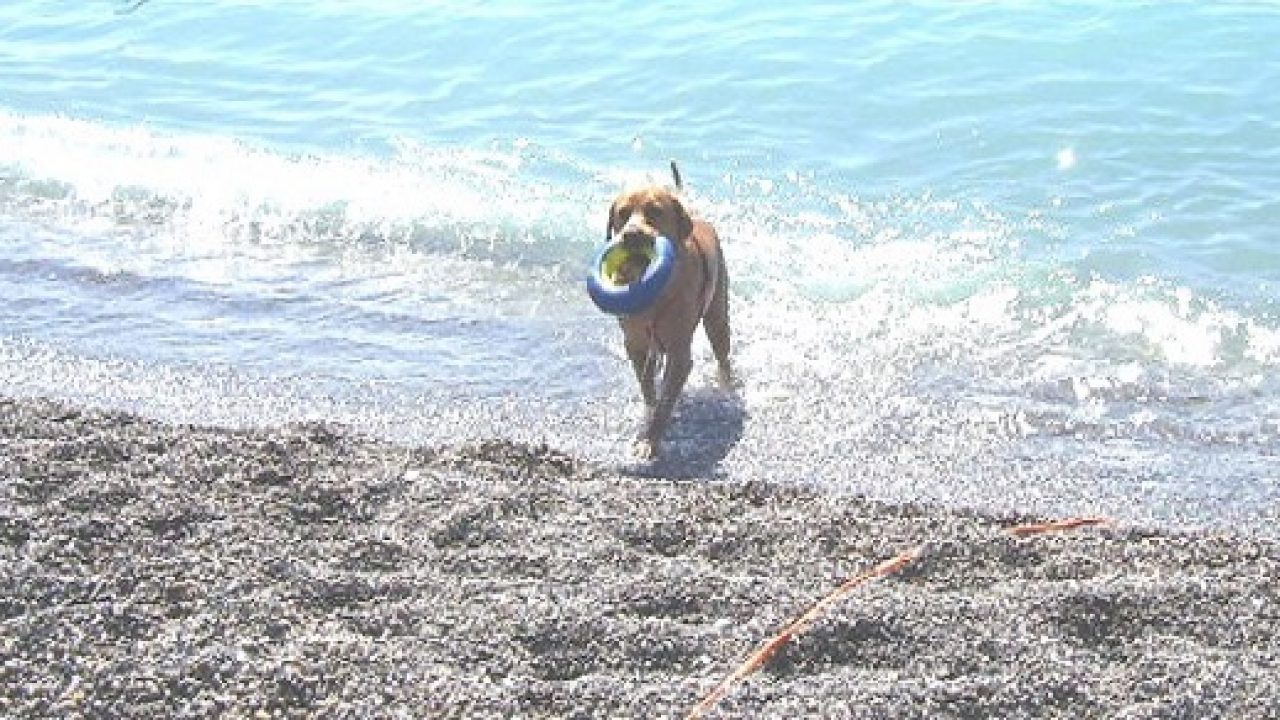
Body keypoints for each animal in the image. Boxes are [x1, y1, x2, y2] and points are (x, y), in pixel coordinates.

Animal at [601, 161, 732, 453]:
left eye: (655, 211)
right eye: (622, 213)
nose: (632, 235)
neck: (655, 294)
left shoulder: (680, 353)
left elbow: (665, 403)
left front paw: (651, 440)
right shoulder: (636, 346)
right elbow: (648, 388)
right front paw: (647, 416)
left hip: (718, 314)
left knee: (722, 352)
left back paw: (727, 388)